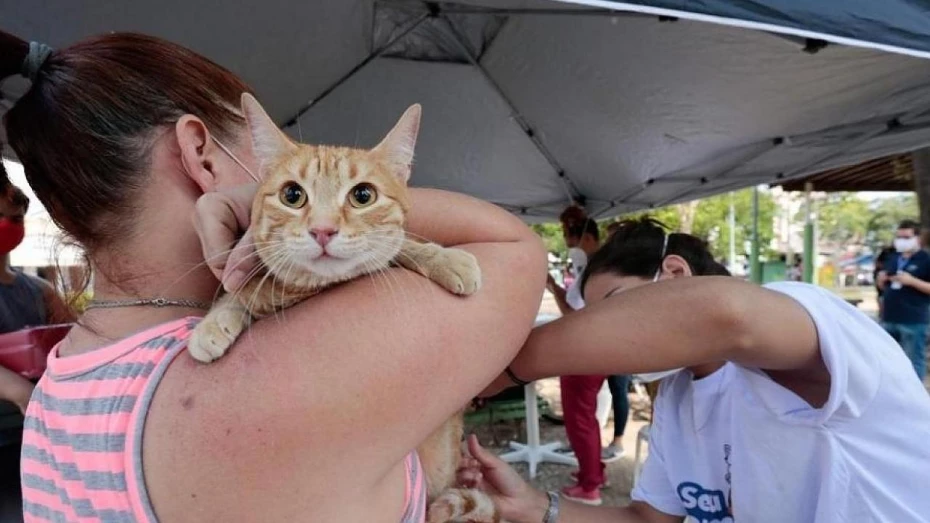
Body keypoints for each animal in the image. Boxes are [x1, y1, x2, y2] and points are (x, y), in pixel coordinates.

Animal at [184, 95, 496, 523]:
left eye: (363, 195)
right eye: (292, 195)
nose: (323, 230)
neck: (312, 290)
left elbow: (403, 247)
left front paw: (446, 259)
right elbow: (239, 292)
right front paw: (214, 323)